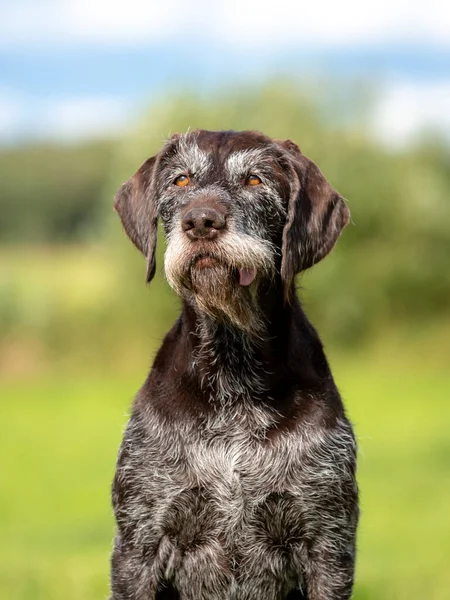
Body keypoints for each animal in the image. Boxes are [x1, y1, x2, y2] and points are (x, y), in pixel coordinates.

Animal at [110, 131, 356, 600]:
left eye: (255, 180)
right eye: (181, 180)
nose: (200, 222)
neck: (233, 372)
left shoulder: (328, 545)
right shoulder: (139, 545)